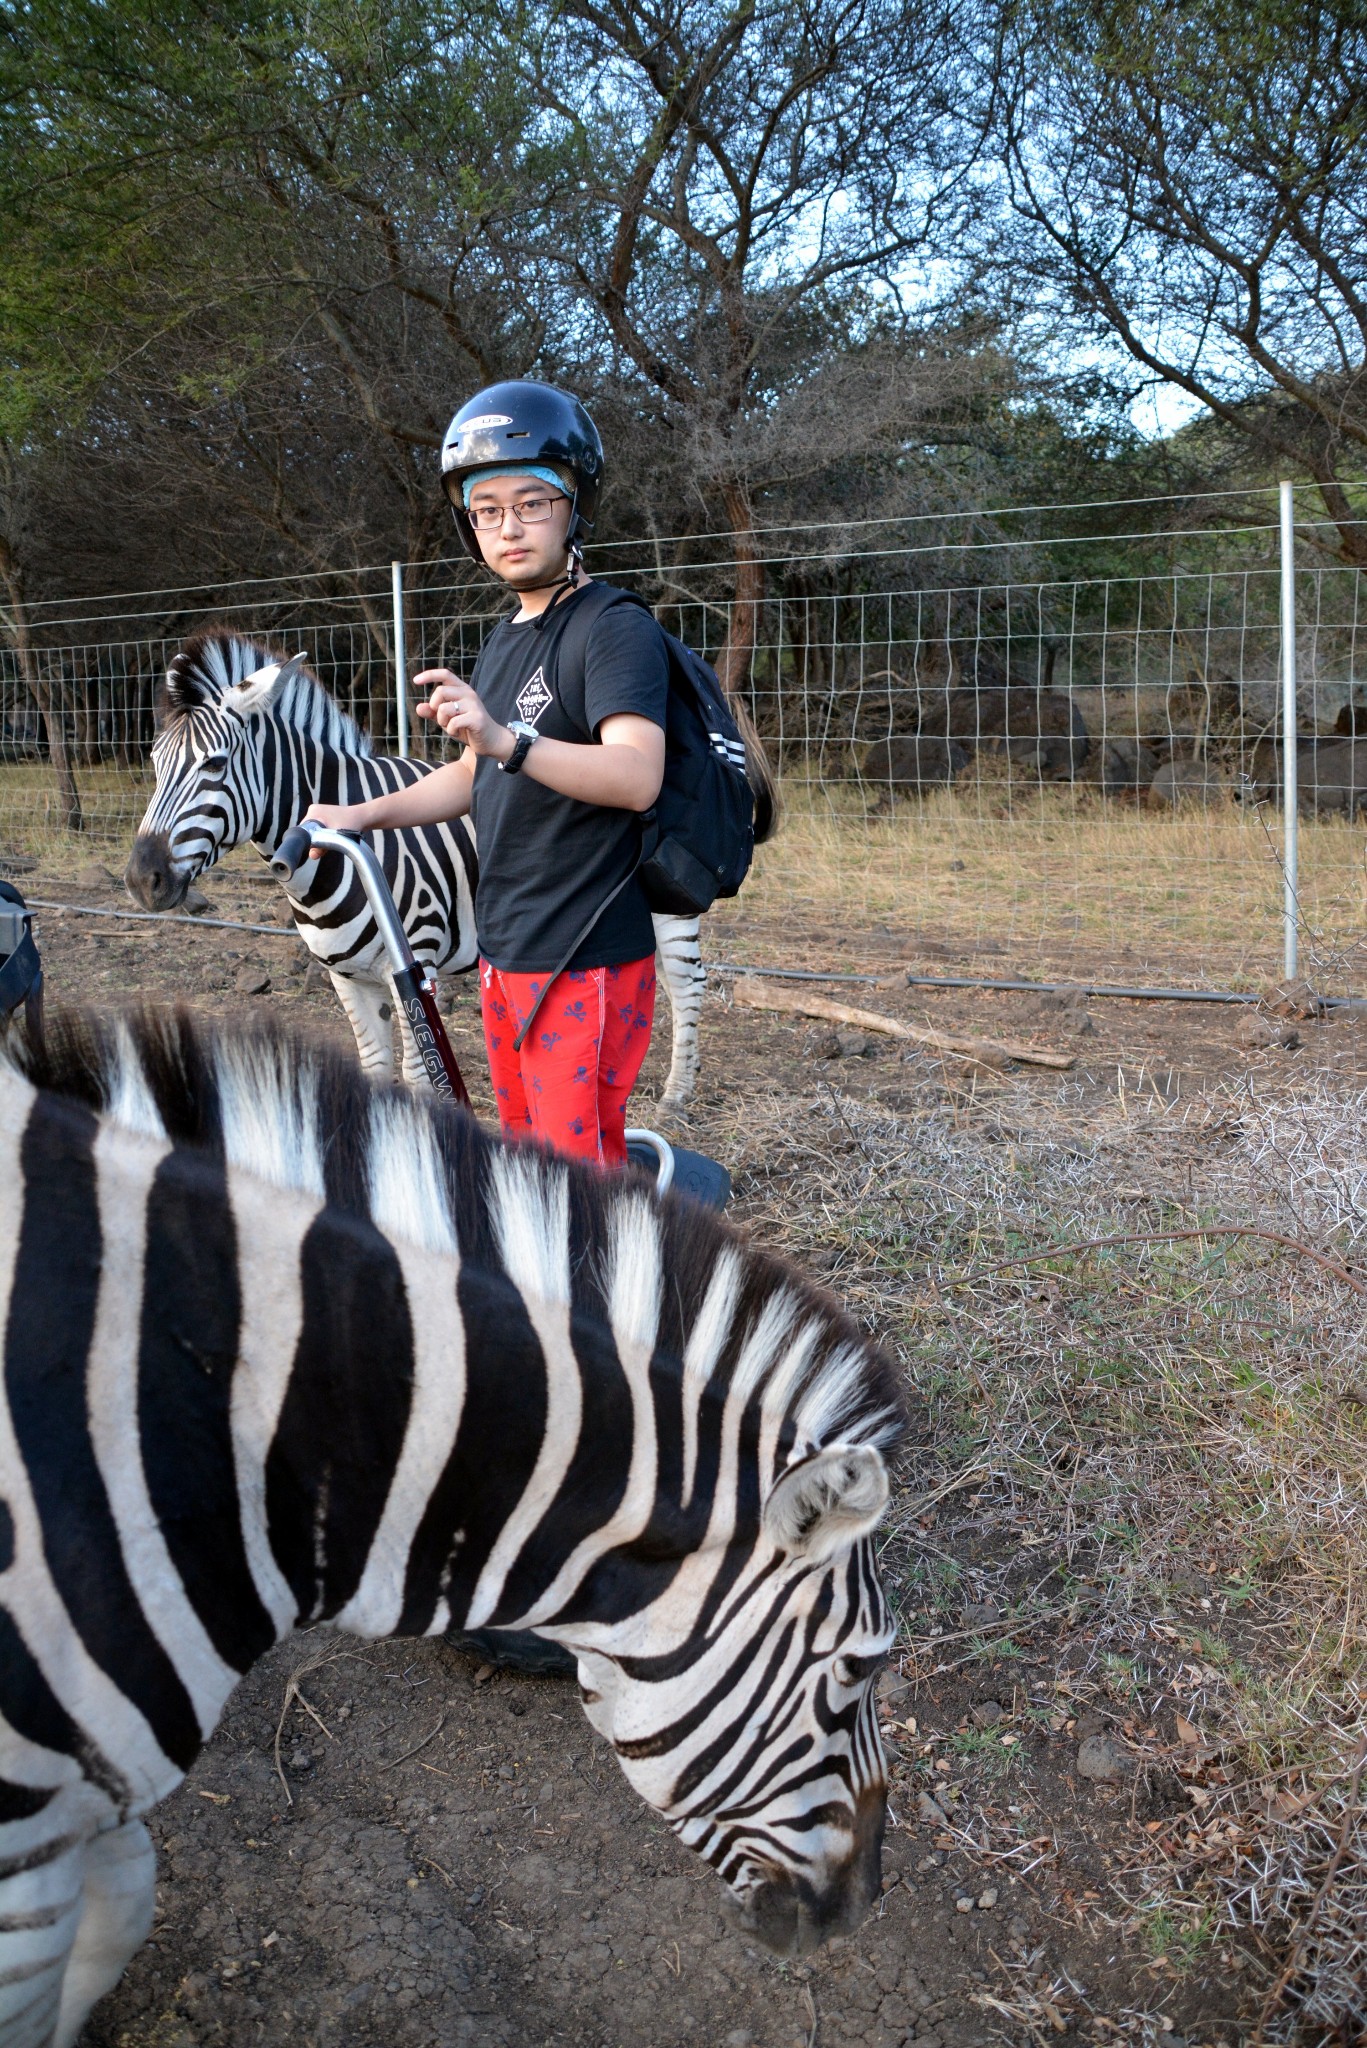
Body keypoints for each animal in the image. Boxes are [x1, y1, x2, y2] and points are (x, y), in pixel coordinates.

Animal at [125, 630, 717, 1114]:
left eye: (215, 764)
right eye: (153, 764)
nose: (140, 881)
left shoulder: (414, 961)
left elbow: (416, 1077)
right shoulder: (346, 977)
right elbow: (374, 1067)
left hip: (673, 906)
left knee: (687, 987)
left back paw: (675, 1099)